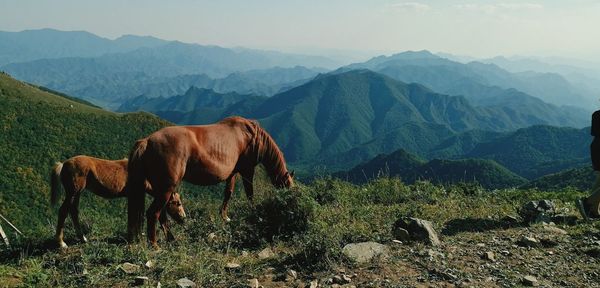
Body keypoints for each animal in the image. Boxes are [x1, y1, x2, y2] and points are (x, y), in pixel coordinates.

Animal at [51, 155, 185, 248]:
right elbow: (134, 216)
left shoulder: (134, 196)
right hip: (72, 193)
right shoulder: (134, 196)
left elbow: (134, 216)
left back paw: (82, 238)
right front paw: (133, 239)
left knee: (74, 212)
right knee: (63, 211)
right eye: (178, 203)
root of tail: (63, 164)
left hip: (76, 194)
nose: (183, 218)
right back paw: (61, 243)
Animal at [127, 116, 294, 246]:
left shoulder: (233, 173)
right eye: (288, 188)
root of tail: (146, 142)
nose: (289, 204)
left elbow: (228, 193)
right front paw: (253, 211)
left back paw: (171, 239)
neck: (251, 136)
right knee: (153, 213)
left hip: (161, 190)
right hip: (166, 189)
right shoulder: (247, 170)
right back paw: (155, 245)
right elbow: (249, 193)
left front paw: (224, 216)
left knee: (161, 214)